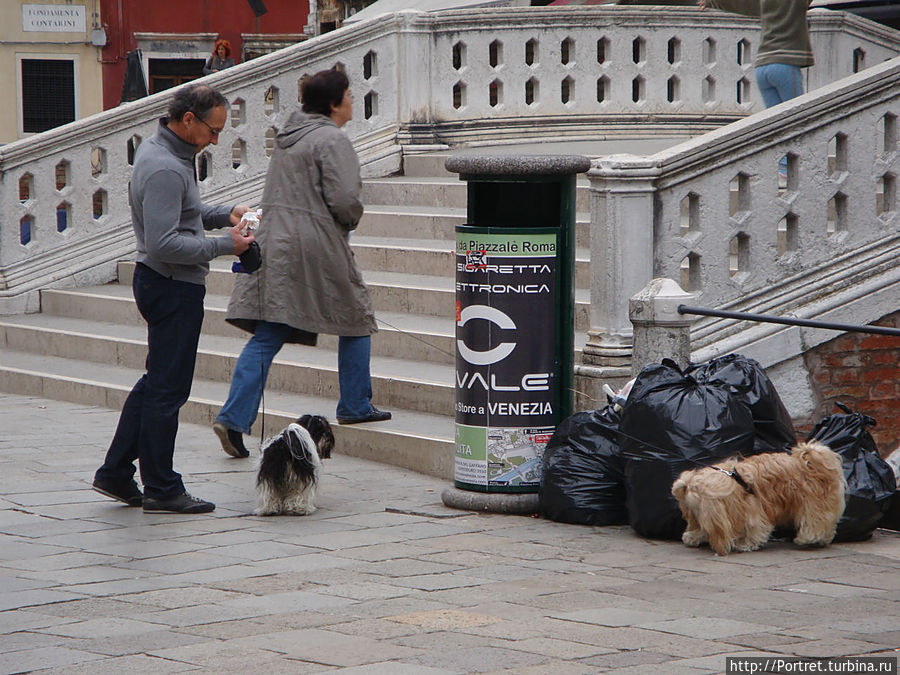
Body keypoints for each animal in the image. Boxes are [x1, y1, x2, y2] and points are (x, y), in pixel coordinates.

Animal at [672, 444, 848, 556]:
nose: (693, 518)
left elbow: (753, 528)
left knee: (818, 520)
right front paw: (693, 536)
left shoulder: (751, 510)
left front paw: (745, 544)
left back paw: (808, 537)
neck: (734, 481)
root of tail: (812, 462)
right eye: (690, 509)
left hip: (813, 502)